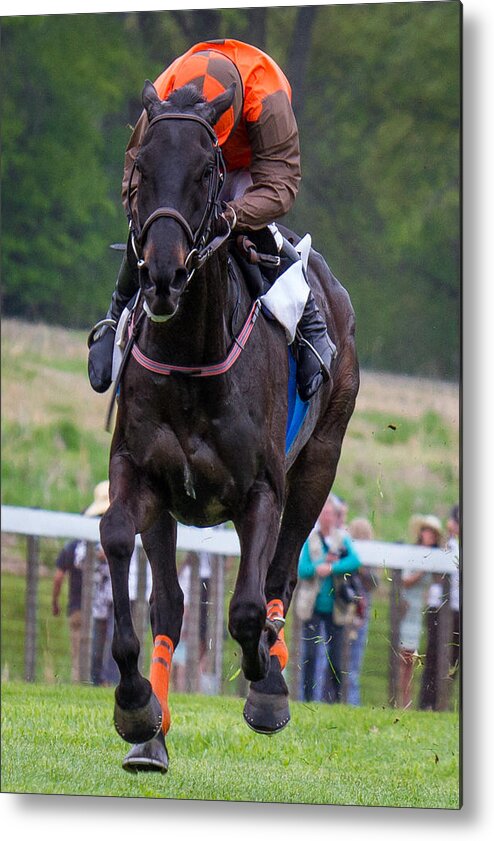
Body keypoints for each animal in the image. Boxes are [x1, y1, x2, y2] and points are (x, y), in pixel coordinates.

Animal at [100, 82, 356, 772]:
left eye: (205, 173)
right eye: (139, 170)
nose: (161, 275)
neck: (191, 354)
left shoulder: (262, 489)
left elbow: (246, 606)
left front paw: (265, 679)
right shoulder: (141, 473)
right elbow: (117, 541)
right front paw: (134, 704)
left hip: (321, 460)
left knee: (280, 572)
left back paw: (272, 674)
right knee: (170, 601)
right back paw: (152, 735)